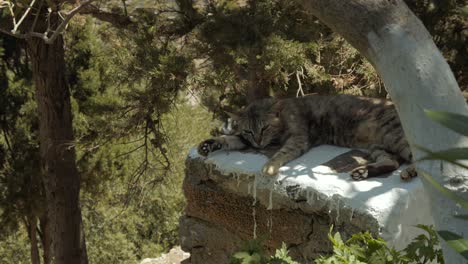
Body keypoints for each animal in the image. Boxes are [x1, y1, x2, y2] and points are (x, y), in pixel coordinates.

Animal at [197, 95, 416, 182]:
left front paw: (271, 166)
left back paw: (411, 171)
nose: (258, 142)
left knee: (418, 161)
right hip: (378, 146)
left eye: (265, 127)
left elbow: (281, 152)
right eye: (249, 131)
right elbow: (229, 139)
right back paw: (364, 171)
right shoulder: (247, 140)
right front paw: (209, 144)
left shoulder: (298, 138)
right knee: (392, 162)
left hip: (394, 137)